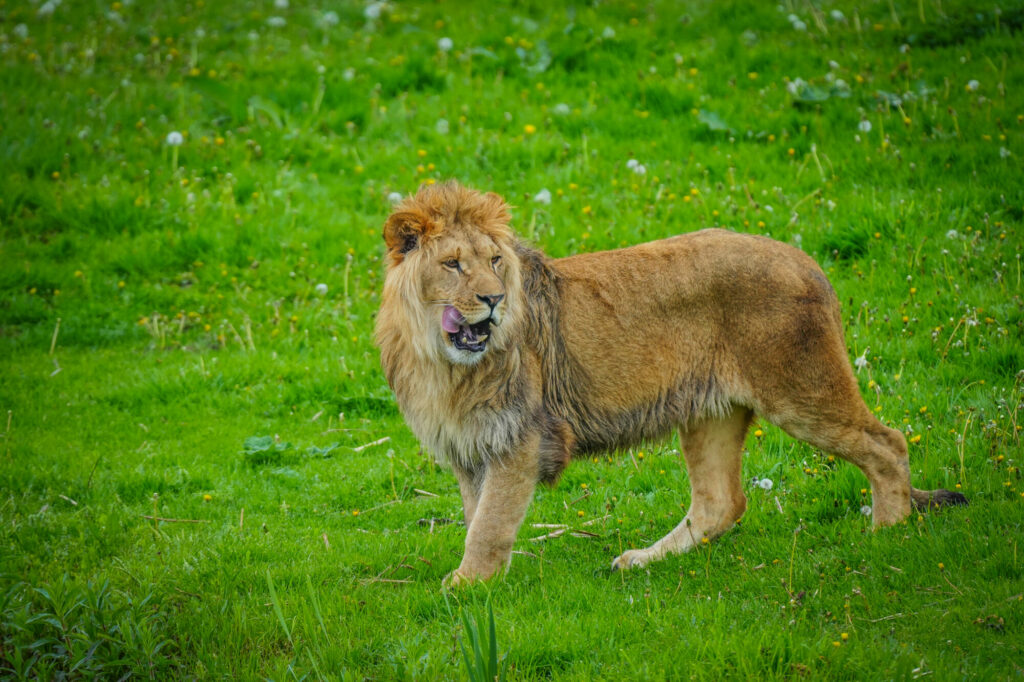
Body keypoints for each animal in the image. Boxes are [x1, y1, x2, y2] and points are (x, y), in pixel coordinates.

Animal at [375, 181, 966, 586]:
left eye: (496, 260)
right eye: (453, 265)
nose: (495, 299)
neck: (444, 363)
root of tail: (806, 260)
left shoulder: (521, 437)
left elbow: (490, 523)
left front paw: (465, 585)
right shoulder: (471, 447)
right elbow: (477, 516)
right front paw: (487, 582)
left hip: (802, 390)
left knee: (887, 444)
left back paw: (886, 533)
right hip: (711, 413)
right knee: (721, 502)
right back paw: (641, 560)